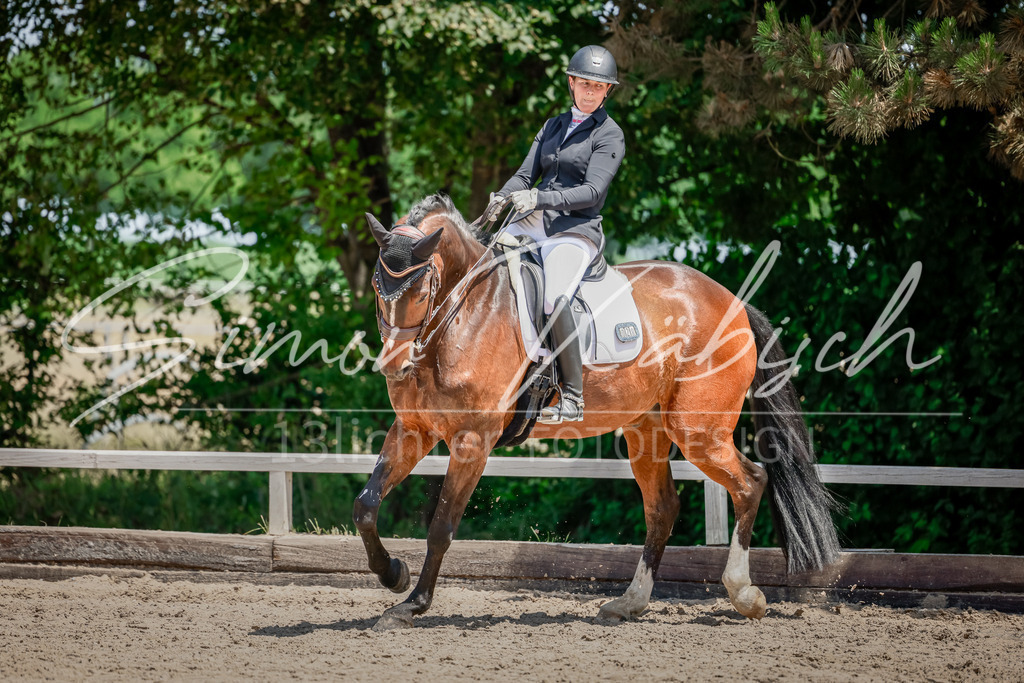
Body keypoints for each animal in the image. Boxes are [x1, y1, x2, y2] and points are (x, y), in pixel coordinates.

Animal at [354, 194, 839, 630]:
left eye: (421, 288)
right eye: (378, 287)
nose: (394, 365)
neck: (462, 314)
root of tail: (733, 303)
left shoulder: (473, 440)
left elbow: (441, 527)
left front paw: (411, 605)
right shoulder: (413, 429)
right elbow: (365, 506)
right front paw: (393, 575)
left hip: (698, 432)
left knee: (750, 482)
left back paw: (744, 595)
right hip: (646, 431)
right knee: (662, 508)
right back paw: (628, 603)